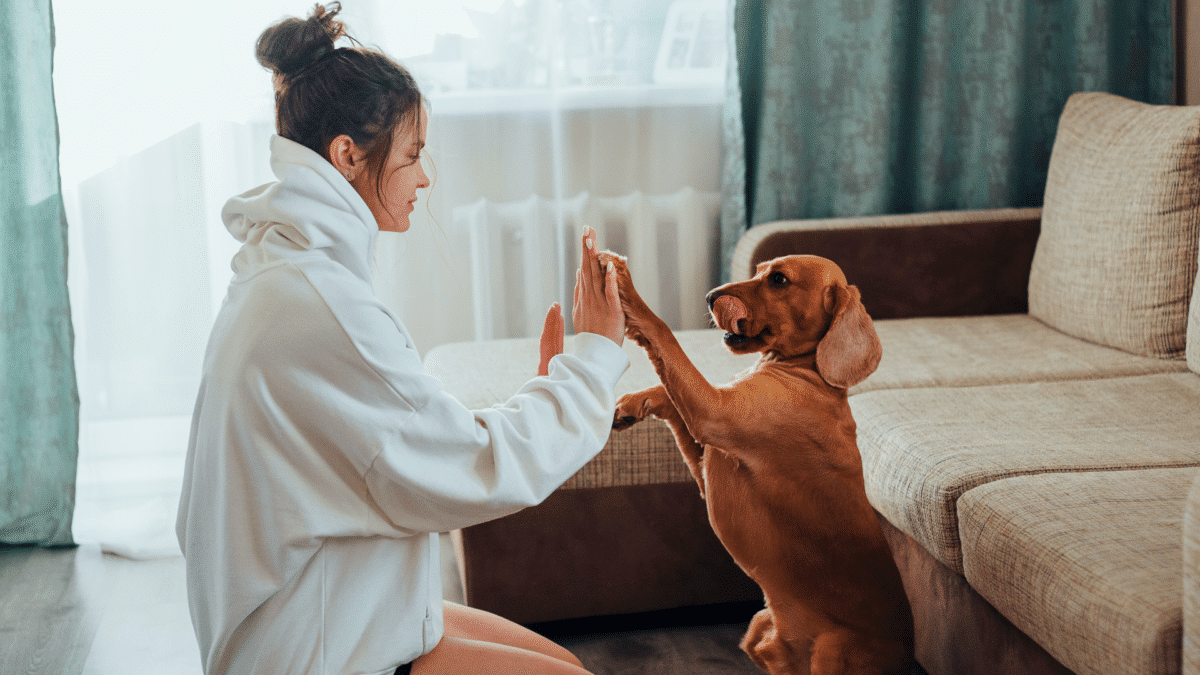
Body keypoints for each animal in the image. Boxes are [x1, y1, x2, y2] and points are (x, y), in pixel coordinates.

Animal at [604, 251, 912, 672]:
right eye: (758, 270)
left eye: (779, 280)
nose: (709, 296)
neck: (808, 373)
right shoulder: (706, 455)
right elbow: (667, 392)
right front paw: (632, 404)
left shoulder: (713, 412)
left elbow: (664, 334)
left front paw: (627, 289)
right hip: (759, 627)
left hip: (832, 649)